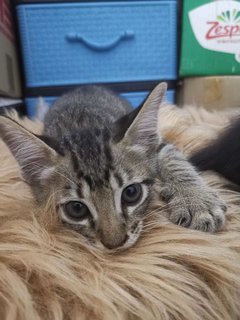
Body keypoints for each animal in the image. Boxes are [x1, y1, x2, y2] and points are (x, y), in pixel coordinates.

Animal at [0, 82, 226, 250]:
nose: (115, 243)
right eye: (76, 209)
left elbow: (175, 160)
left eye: (131, 193)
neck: (83, 124)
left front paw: (197, 201)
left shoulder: (158, 144)